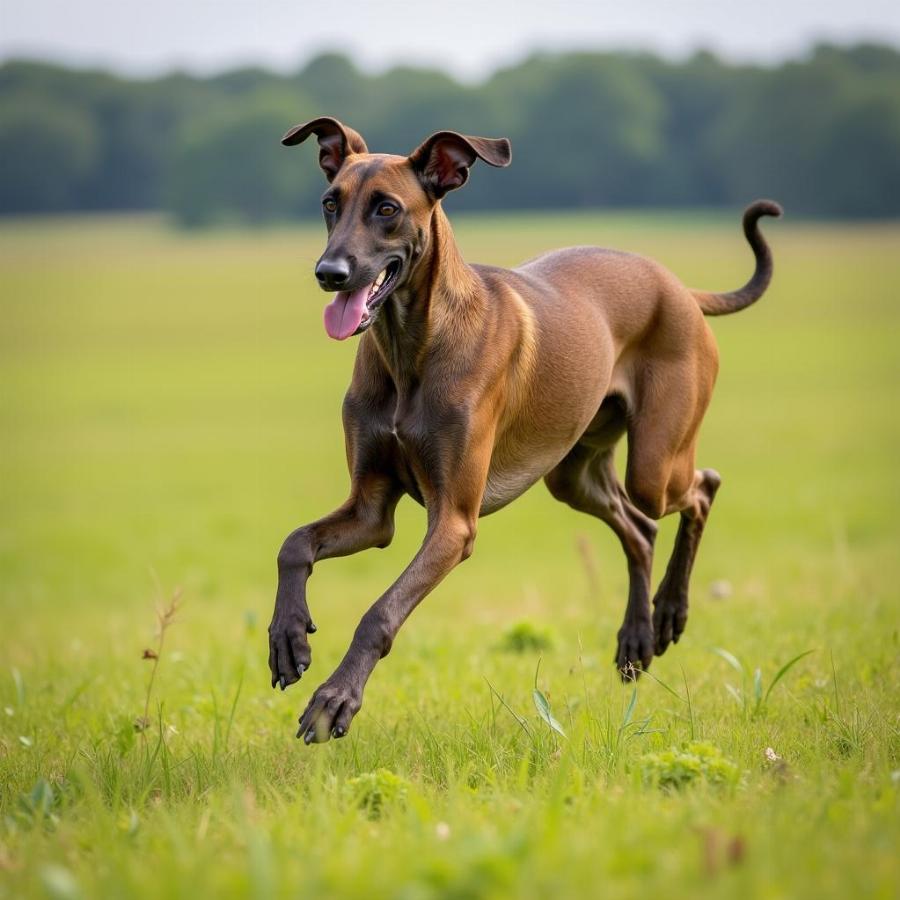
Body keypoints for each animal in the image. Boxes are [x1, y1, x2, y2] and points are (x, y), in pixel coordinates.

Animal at [268, 116, 780, 740]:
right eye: (330, 203)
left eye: (386, 208)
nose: (329, 273)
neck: (412, 346)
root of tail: (681, 288)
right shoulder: (370, 511)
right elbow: (294, 543)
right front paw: (287, 638)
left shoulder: (453, 523)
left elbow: (380, 613)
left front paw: (336, 698)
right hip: (574, 473)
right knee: (639, 530)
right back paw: (638, 638)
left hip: (656, 465)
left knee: (702, 488)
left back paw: (671, 613)